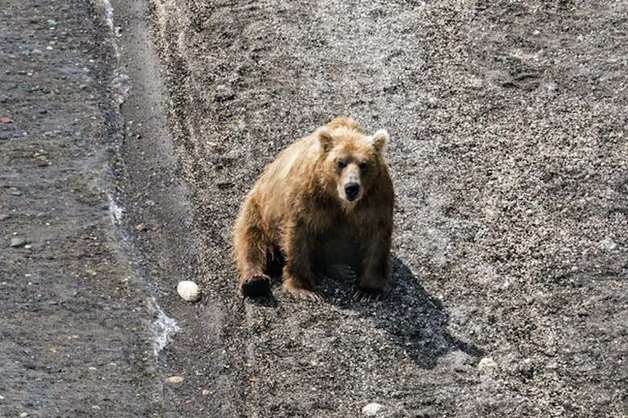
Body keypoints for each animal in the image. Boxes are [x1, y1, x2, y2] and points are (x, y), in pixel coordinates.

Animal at [233, 116, 394, 302]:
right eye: (340, 162)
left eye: (364, 164)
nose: (352, 187)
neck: (339, 200)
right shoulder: (309, 197)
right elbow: (299, 235)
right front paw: (304, 289)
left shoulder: (375, 198)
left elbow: (377, 236)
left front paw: (368, 290)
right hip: (258, 208)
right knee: (251, 239)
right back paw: (254, 281)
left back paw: (341, 270)